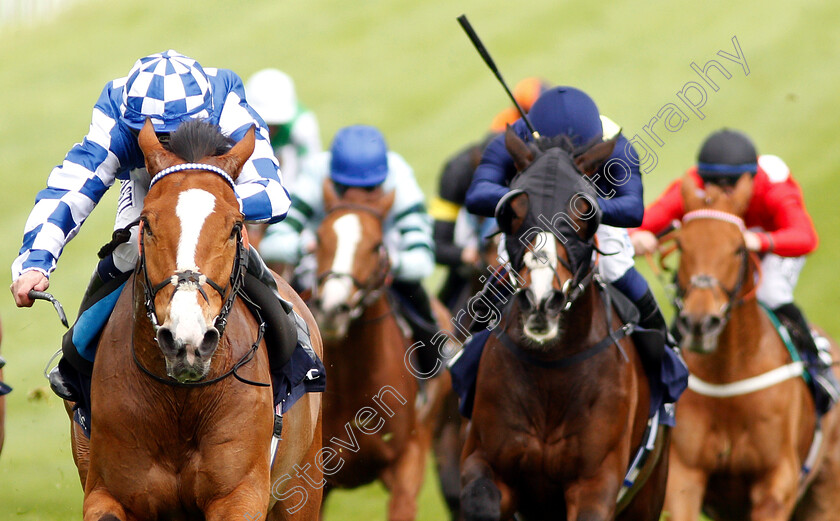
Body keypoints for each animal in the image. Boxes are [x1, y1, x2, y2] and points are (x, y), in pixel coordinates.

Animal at [69, 120, 324, 520]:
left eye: (235, 226)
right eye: (147, 224)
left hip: (303, 484)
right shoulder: (106, 492)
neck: (180, 401)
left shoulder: (239, 494)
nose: (186, 340)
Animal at [460, 127, 668, 520]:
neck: (551, 369)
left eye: (583, 212)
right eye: (513, 212)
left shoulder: (596, 482)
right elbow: (480, 497)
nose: (541, 300)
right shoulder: (486, 462)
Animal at [664, 175, 840, 520]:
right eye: (682, 245)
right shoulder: (684, 476)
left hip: (826, 493)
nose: (700, 324)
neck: (728, 375)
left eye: (737, 248)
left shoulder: (776, 482)